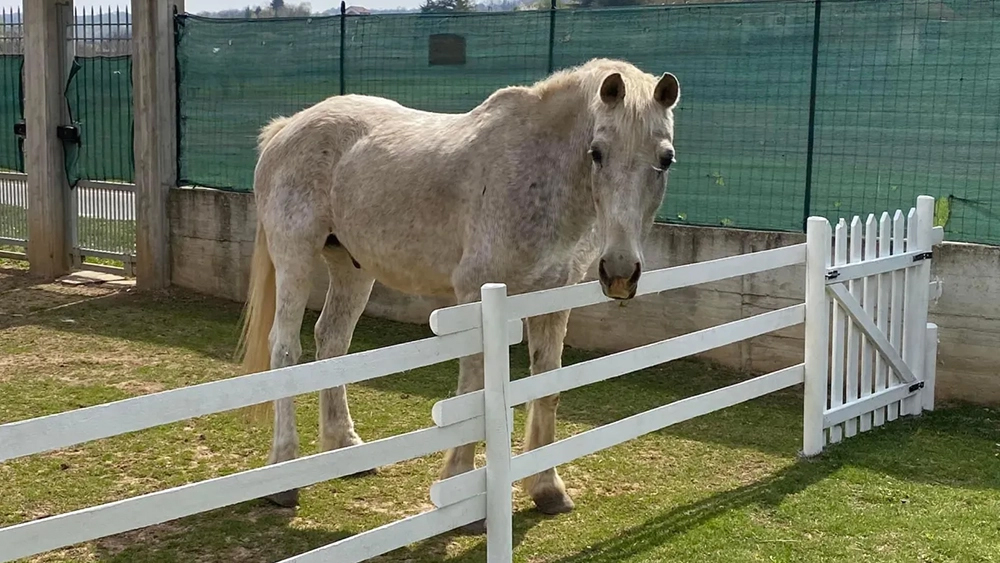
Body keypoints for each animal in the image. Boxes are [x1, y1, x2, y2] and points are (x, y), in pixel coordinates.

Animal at [236, 57, 680, 525]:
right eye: (596, 152)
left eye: (665, 159)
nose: (620, 271)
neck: (536, 171)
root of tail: (286, 127)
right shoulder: (475, 295)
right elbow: (474, 391)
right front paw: (464, 494)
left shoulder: (551, 300)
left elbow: (547, 388)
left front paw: (548, 489)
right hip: (295, 258)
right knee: (286, 350)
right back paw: (284, 475)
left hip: (351, 268)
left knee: (332, 342)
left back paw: (346, 449)